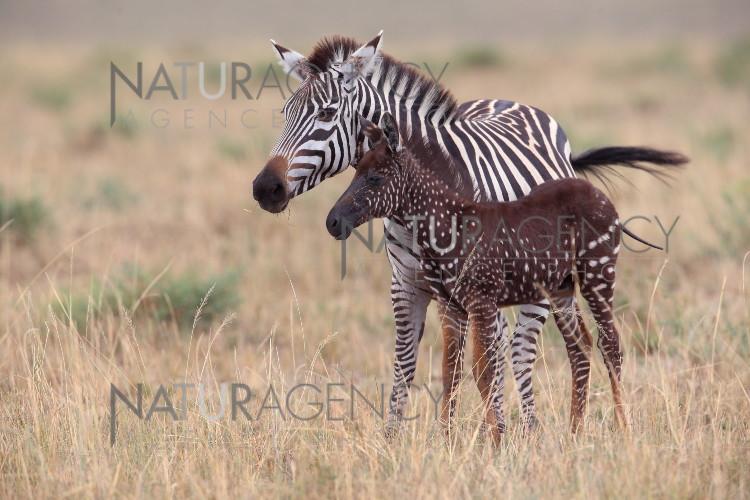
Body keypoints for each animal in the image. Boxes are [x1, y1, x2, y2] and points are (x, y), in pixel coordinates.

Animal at [326, 113, 660, 442]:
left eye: (375, 178)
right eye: (355, 172)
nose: (332, 222)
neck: (448, 225)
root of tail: (599, 195)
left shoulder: (482, 300)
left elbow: (483, 369)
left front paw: (496, 441)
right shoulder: (452, 305)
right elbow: (451, 370)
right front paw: (449, 440)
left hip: (598, 272)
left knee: (610, 342)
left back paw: (623, 428)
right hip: (561, 288)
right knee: (580, 344)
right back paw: (575, 432)